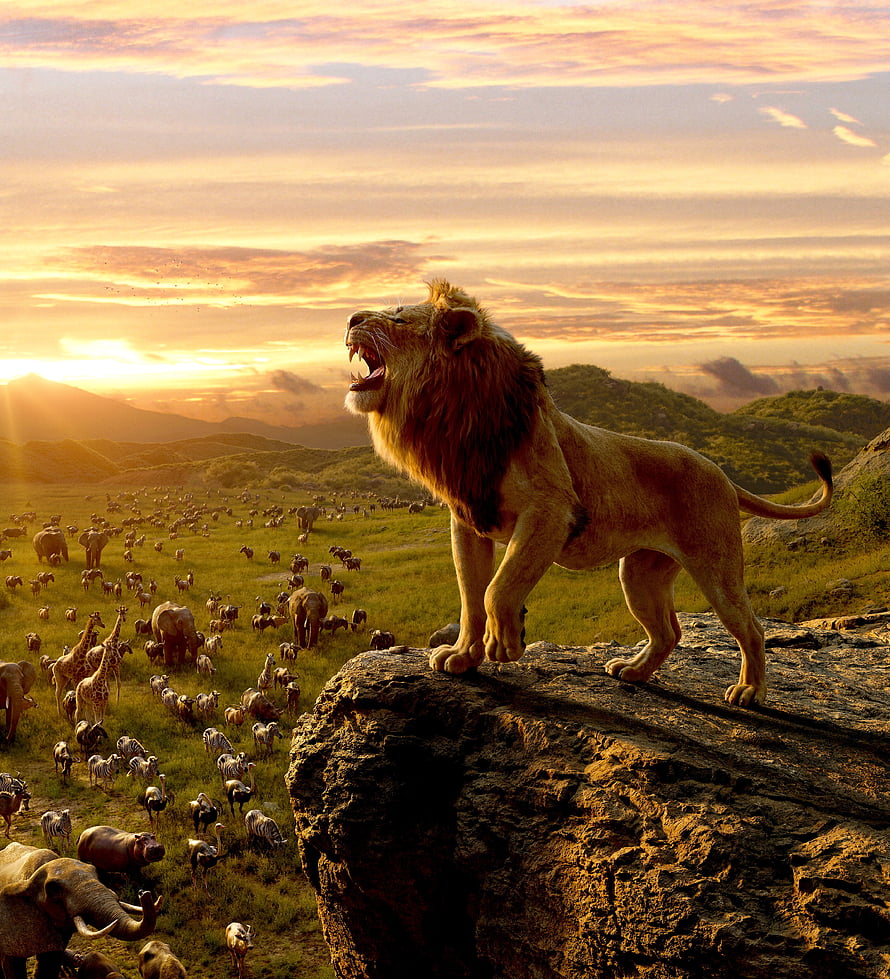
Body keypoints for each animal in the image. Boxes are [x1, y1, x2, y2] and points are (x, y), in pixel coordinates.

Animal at [344, 280, 833, 706]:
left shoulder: (552, 511)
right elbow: (470, 595)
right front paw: (463, 657)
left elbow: (498, 588)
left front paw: (505, 645)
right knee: (669, 631)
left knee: (751, 627)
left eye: (398, 318)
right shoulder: (468, 518)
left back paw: (750, 691)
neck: (453, 416)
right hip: (640, 574)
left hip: (716, 566)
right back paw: (633, 672)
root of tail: (721, 473)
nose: (350, 318)